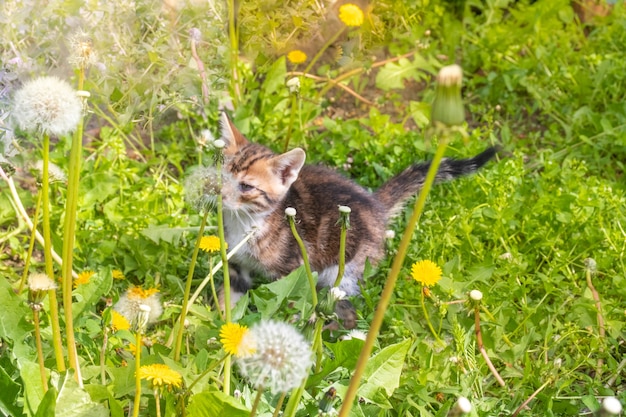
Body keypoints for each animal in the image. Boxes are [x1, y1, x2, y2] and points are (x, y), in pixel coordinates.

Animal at [217, 113, 494, 312]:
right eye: (220, 175)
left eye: (246, 187)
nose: (219, 194)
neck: (244, 223)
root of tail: (375, 204)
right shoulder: (235, 263)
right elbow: (231, 294)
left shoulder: (293, 270)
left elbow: (289, 301)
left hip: (348, 268)